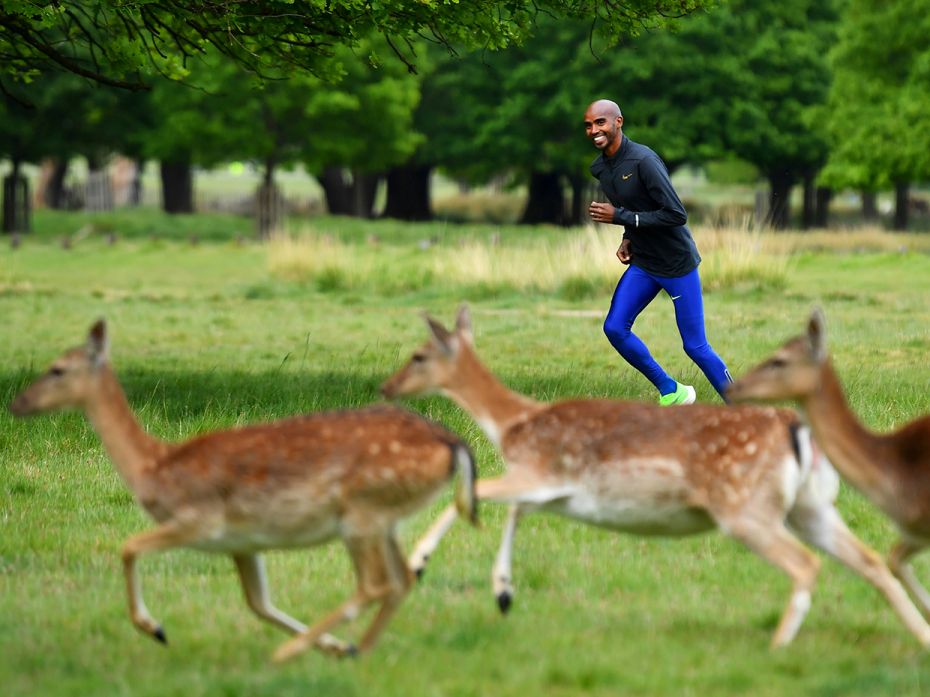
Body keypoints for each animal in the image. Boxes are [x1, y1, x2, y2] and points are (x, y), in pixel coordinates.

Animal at [10, 318, 478, 660]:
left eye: (57, 368)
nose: (17, 403)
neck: (154, 467)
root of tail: (453, 445)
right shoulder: (242, 542)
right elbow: (258, 602)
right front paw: (330, 646)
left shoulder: (201, 520)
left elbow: (128, 546)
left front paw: (156, 628)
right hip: (384, 519)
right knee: (401, 579)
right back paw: (352, 648)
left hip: (362, 513)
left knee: (377, 584)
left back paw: (298, 652)